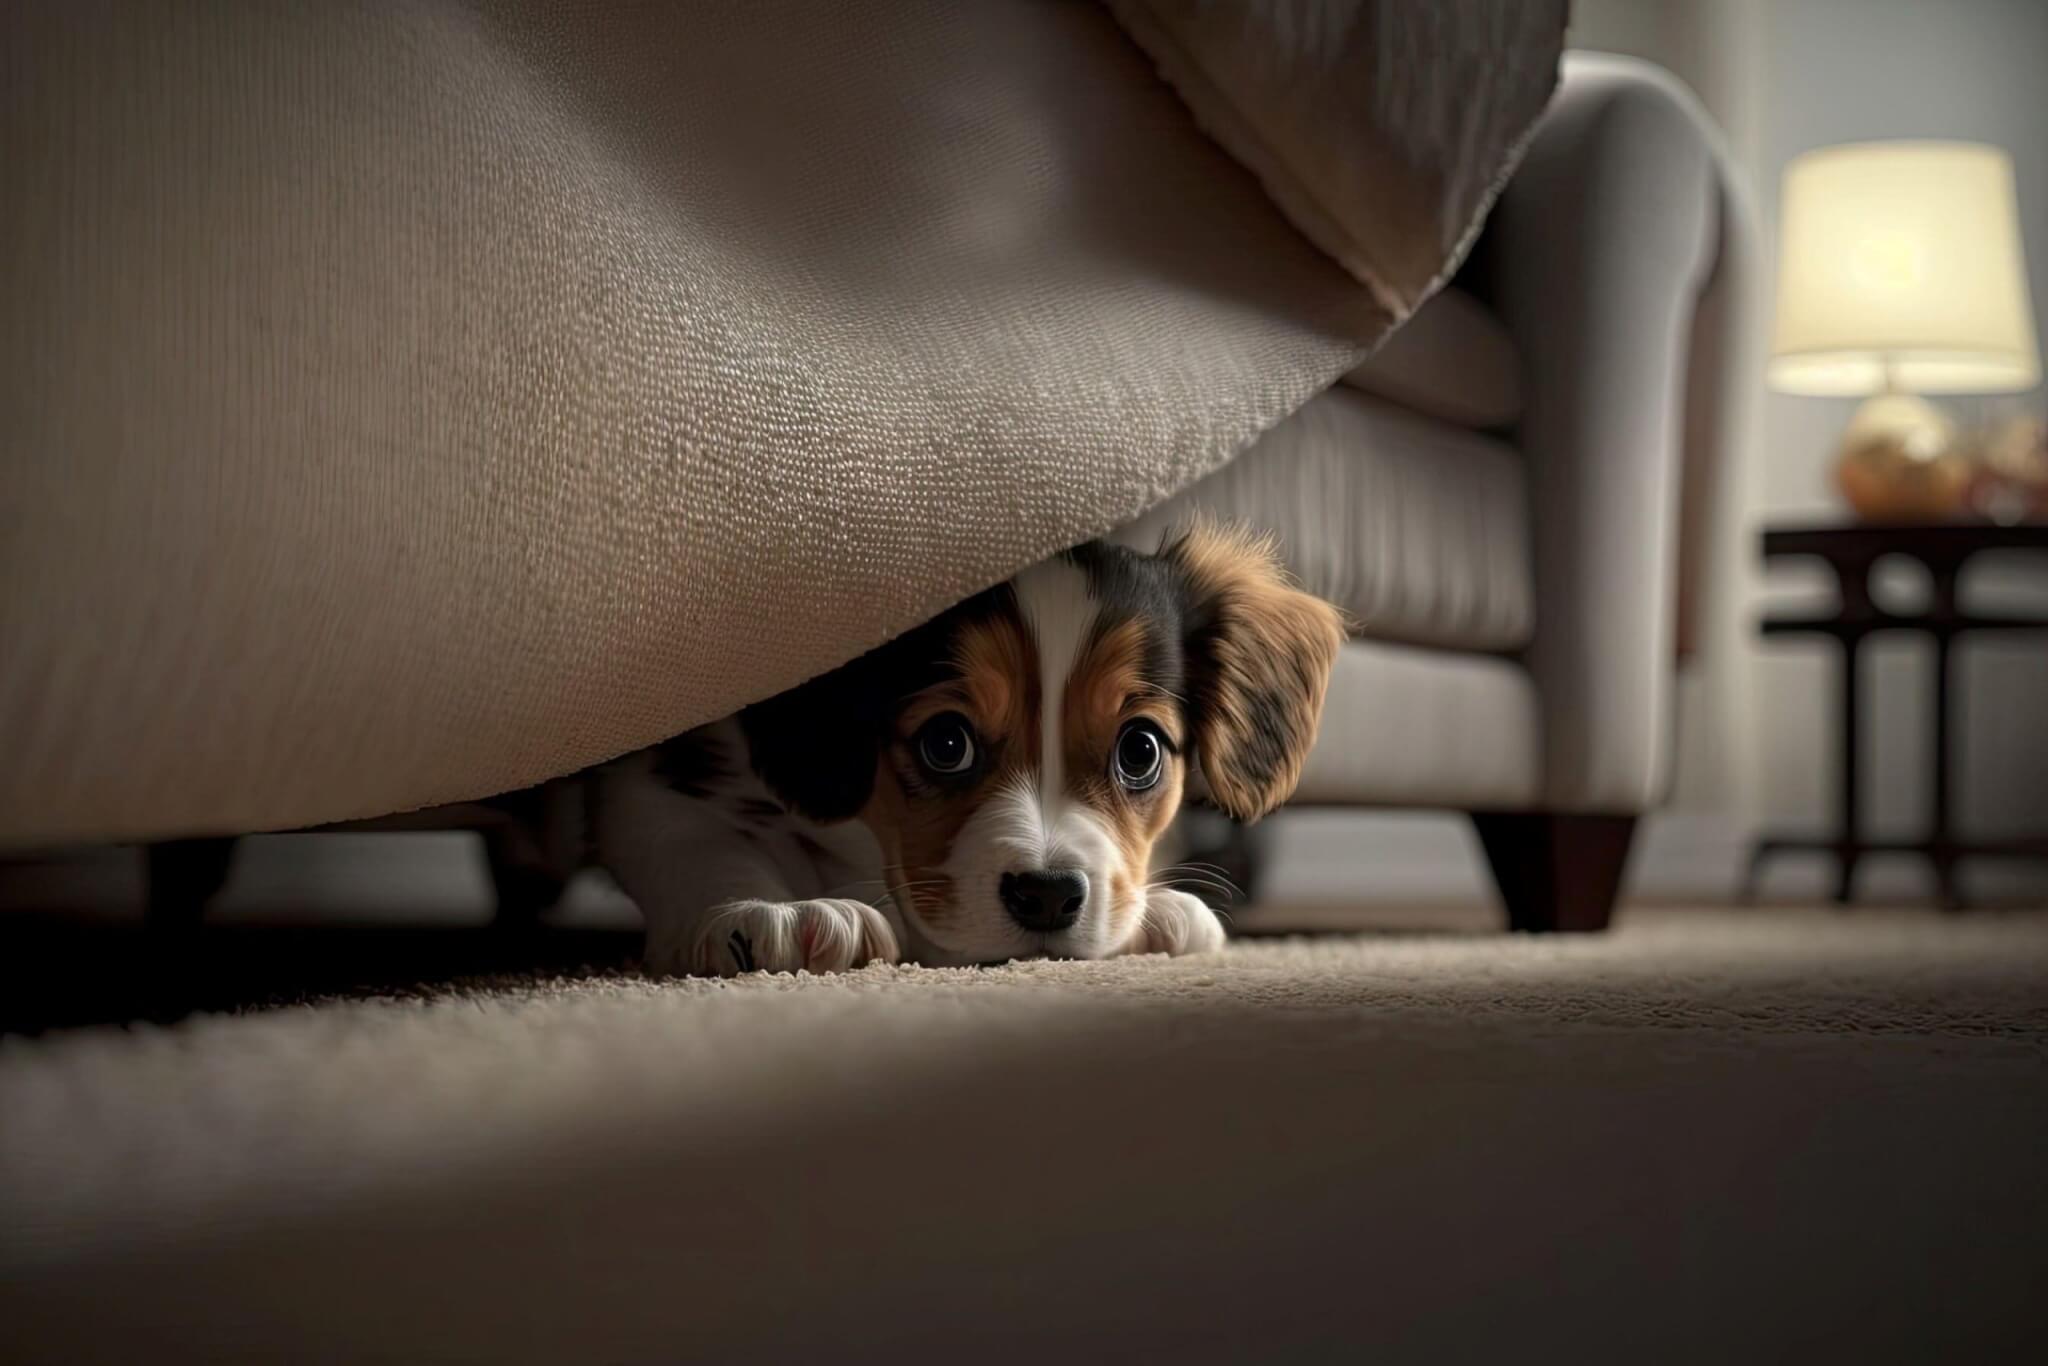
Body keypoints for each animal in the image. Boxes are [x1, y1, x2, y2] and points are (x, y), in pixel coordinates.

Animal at [593, 518, 1343, 978]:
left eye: (1140, 751)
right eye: (945, 742)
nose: (1048, 897)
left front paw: (1158, 911)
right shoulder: (659, 768)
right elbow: (698, 840)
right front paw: (772, 913)